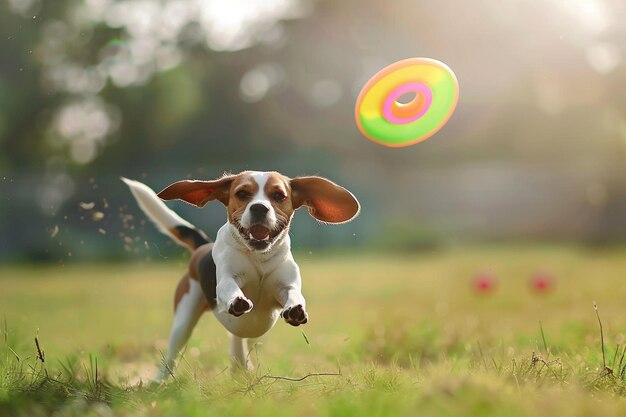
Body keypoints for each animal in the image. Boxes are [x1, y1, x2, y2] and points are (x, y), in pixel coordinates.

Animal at [123, 171, 356, 378]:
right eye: (242, 193)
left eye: (279, 195)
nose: (259, 207)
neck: (259, 257)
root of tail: (203, 246)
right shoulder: (227, 279)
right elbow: (229, 287)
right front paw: (237, 299)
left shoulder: (286, 286)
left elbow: (294, 294)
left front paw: (295, 309)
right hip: (183, 320)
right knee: (171, 356)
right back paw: (158, 383)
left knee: (237, 342)